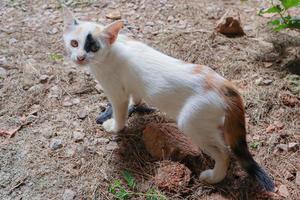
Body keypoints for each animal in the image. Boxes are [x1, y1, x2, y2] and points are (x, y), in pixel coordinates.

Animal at [63, 6, 274, 191]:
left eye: (93, 47)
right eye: (74, 43)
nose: (80, 57)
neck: (114, 49)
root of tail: (225, 85)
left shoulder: (116, 93)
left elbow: (120, 113)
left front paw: (114, 126)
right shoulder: (131, 86)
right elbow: (136, 95)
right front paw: (136, 104)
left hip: (191, 122)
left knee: (224, 153)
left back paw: (213, 177)